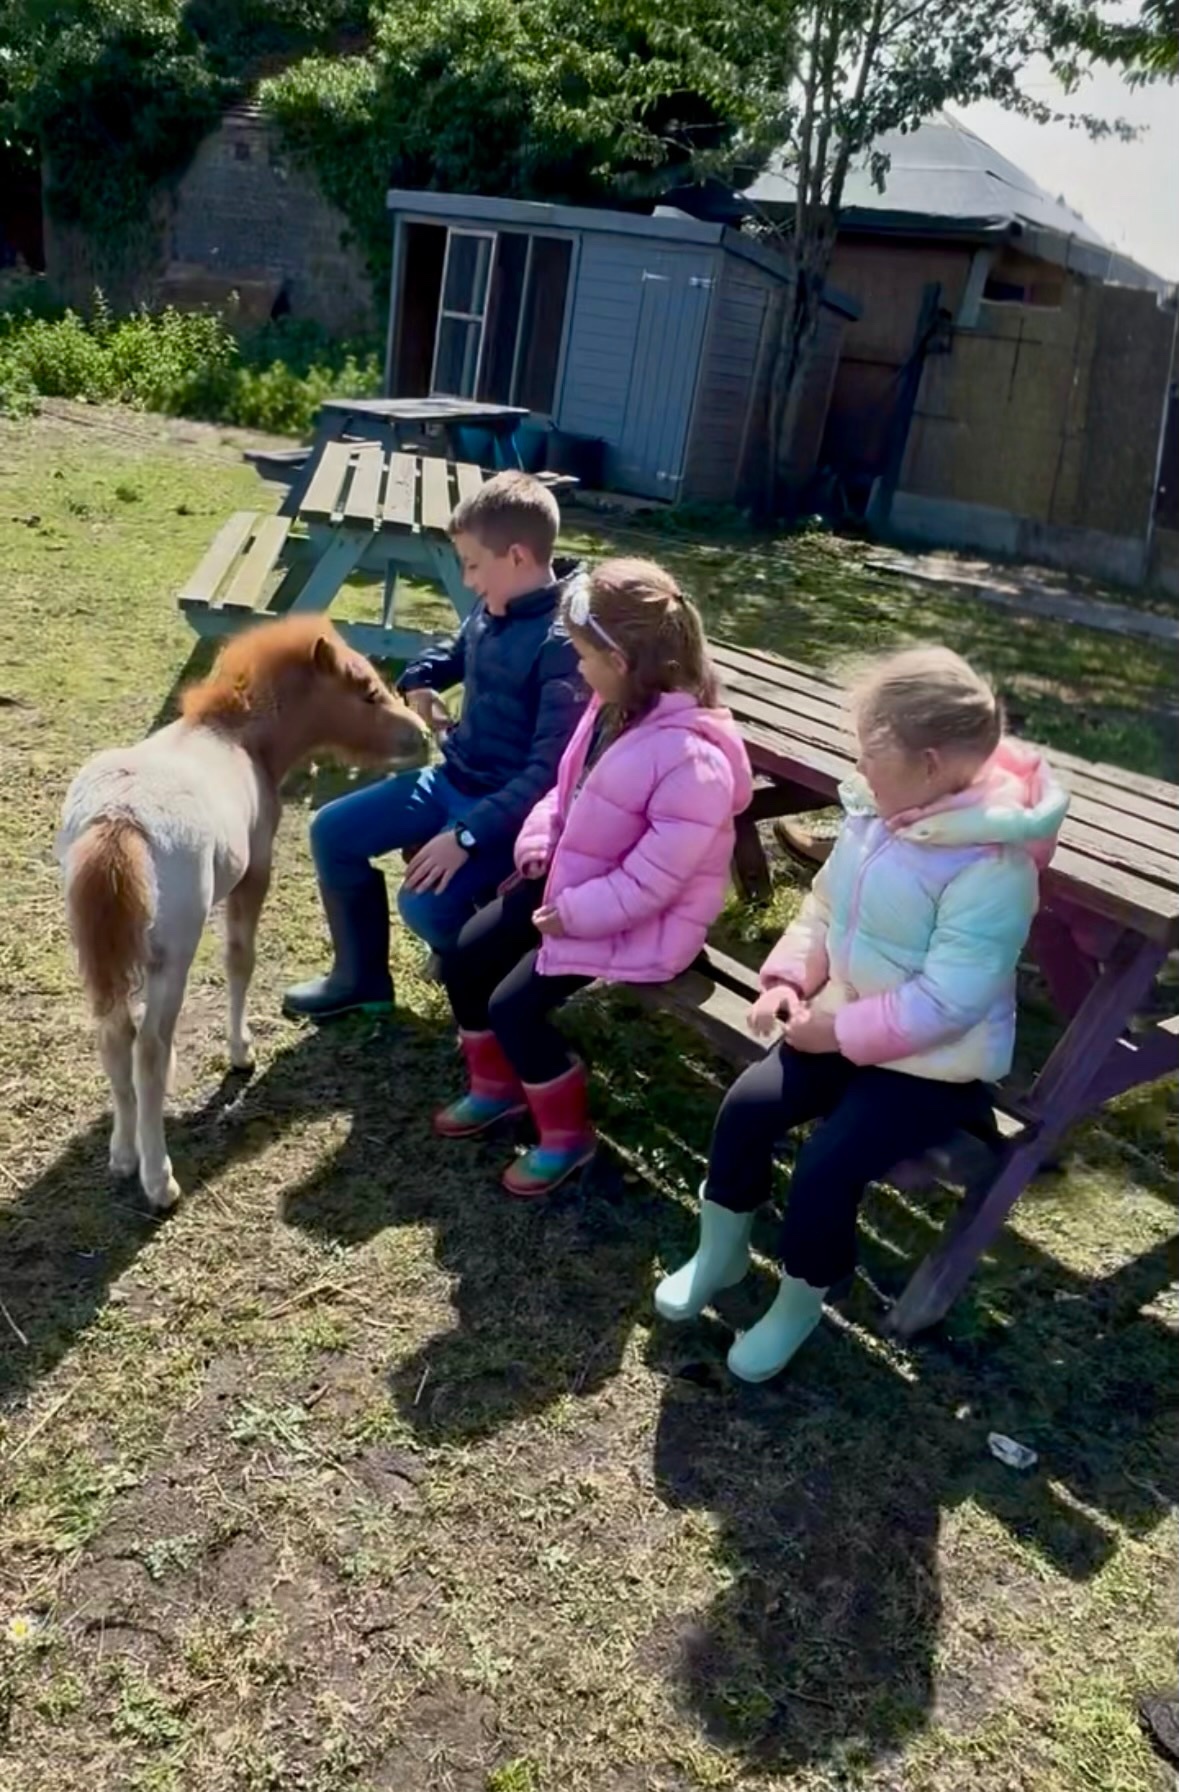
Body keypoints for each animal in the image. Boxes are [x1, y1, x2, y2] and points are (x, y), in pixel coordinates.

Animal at [57, 615, 429, 1213]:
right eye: (369, 692)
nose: (424, 735)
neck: (236, 739)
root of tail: (119, 819)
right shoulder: (255, 873)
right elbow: (239, 960)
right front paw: (240, 1052)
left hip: (98, 951)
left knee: (114, 1039)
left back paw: (123, 1155)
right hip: (170, 957)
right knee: (150, 1050)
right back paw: (159, 1179)